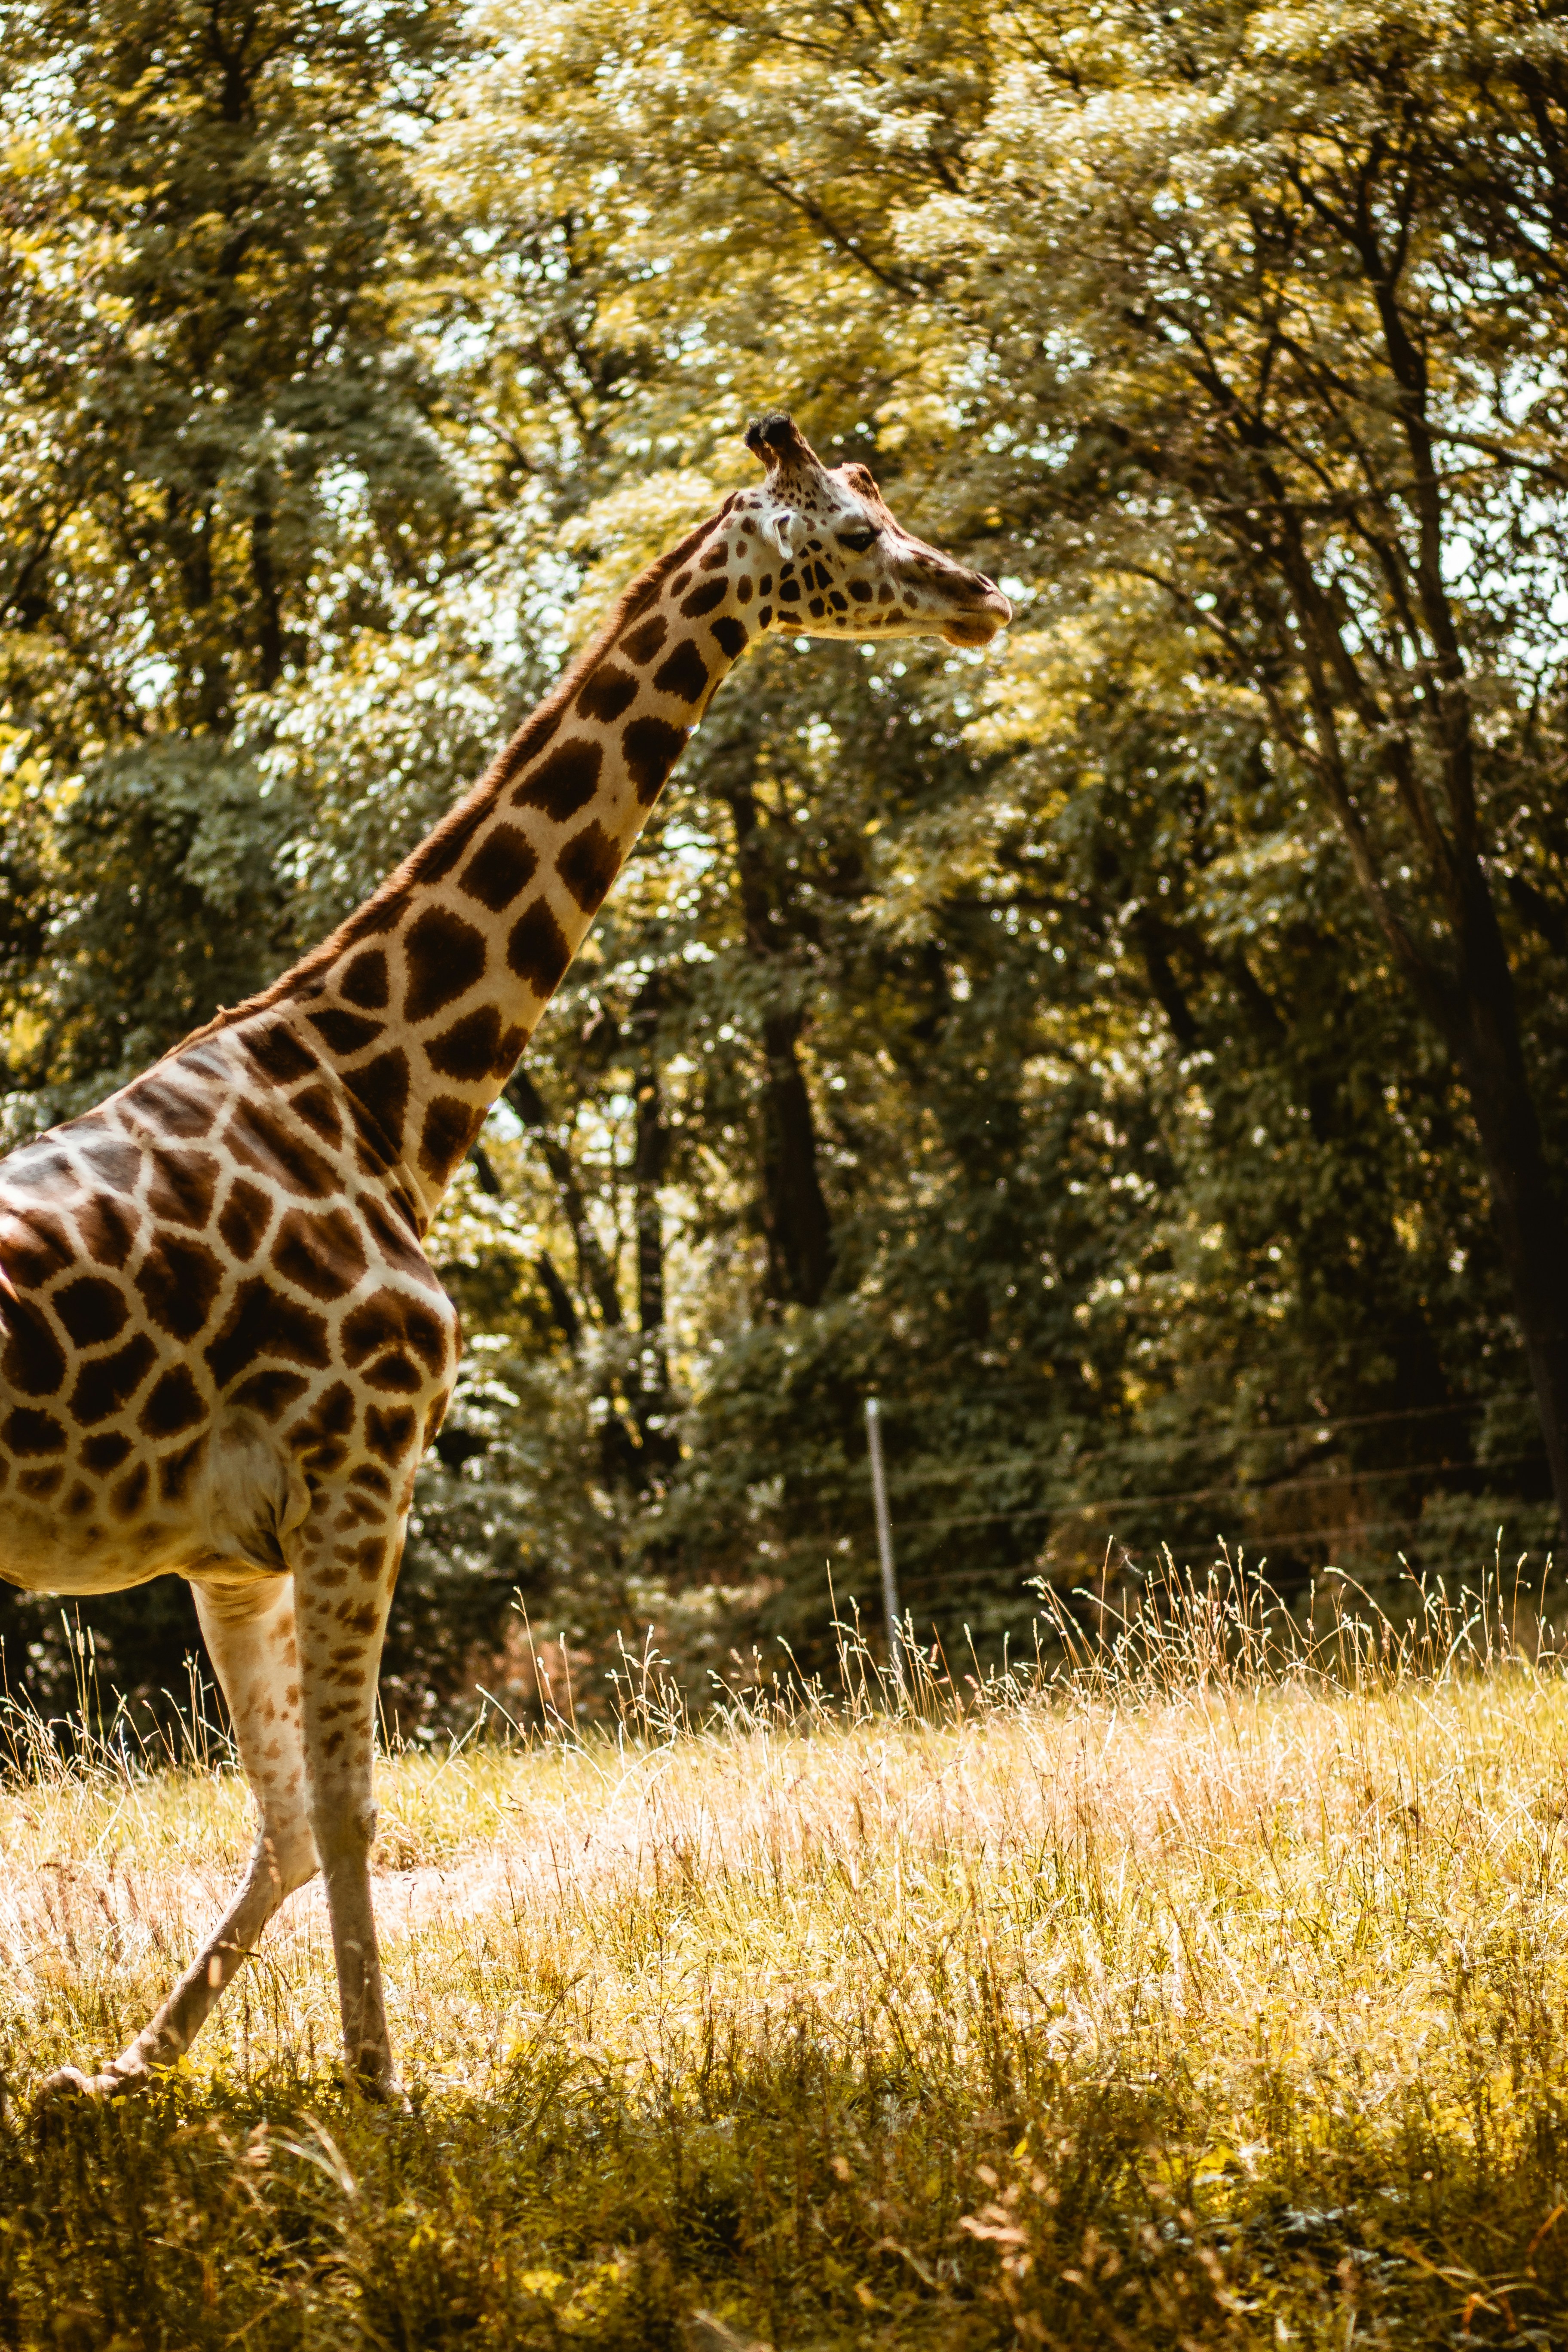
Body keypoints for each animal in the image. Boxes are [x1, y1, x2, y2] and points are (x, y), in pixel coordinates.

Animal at [2, 412, 1010, 2100]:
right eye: (858, 537)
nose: (980, 594)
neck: (369, 1094)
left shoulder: (228, 1547)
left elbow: (286, 1821)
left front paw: (124, 2073)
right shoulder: (362, 1467)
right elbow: (348, 1806)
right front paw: (378, 2093)